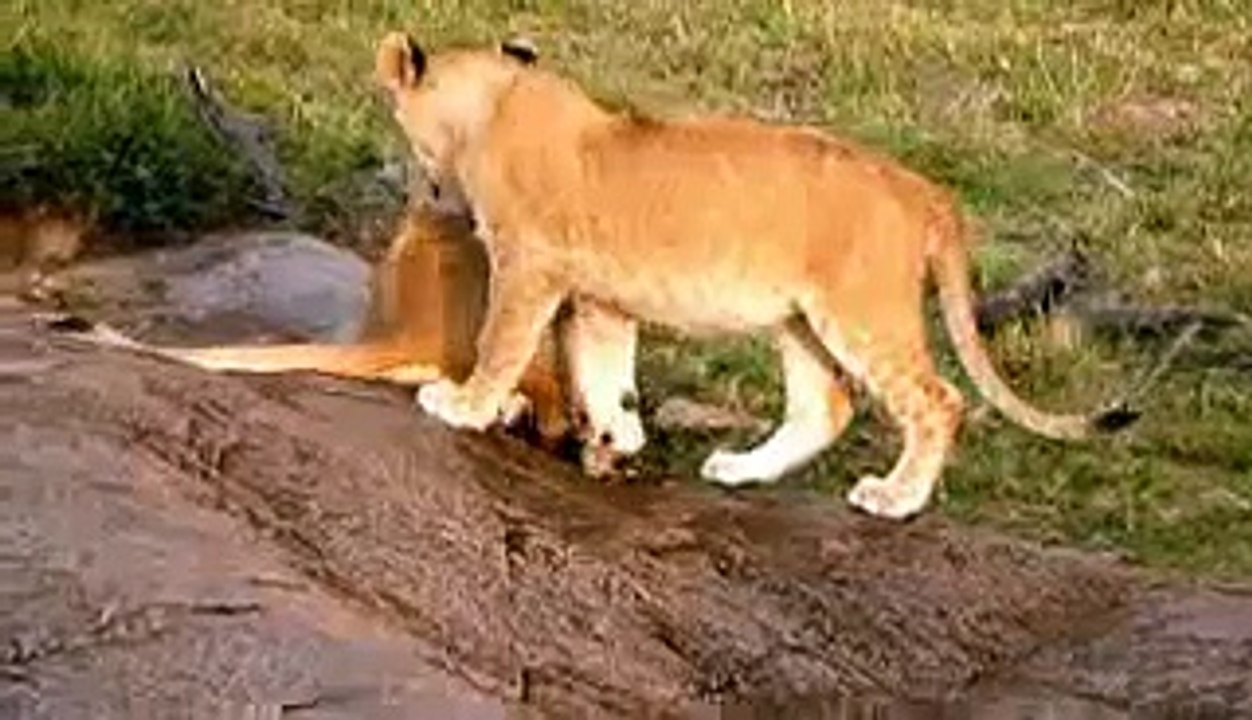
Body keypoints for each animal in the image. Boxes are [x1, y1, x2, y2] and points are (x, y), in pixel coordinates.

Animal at [378, 32, 1135, 519]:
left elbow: (499, 345)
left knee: (938, 400)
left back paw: (894, 498)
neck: (489, 107)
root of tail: (926, 190)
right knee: (823, 409)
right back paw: (740, 469)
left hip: (861, 311)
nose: (421, 191)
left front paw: (464, 404)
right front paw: (618, 441)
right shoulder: (602, 299)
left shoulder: (528, 267)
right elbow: (605, 372)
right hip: (799, 320)